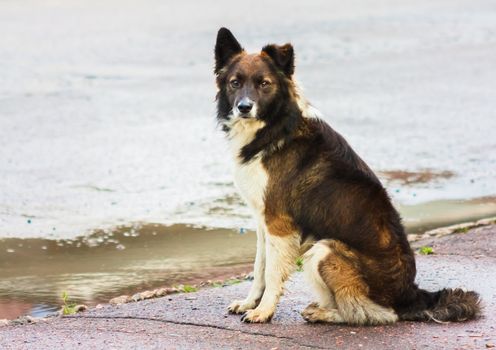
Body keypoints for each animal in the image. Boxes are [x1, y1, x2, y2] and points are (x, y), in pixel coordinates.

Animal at [214, 28, 480, 326]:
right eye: (235, 83)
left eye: (264, 83)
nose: (243, 107)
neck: (275, 127)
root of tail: (411, 296)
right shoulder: (264, 221)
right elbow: (259, 266)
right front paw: (250, 302)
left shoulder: (278, 224)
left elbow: (271, 273)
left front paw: (264, 311)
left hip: (324, 250)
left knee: (372, 313)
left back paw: (324, 313)